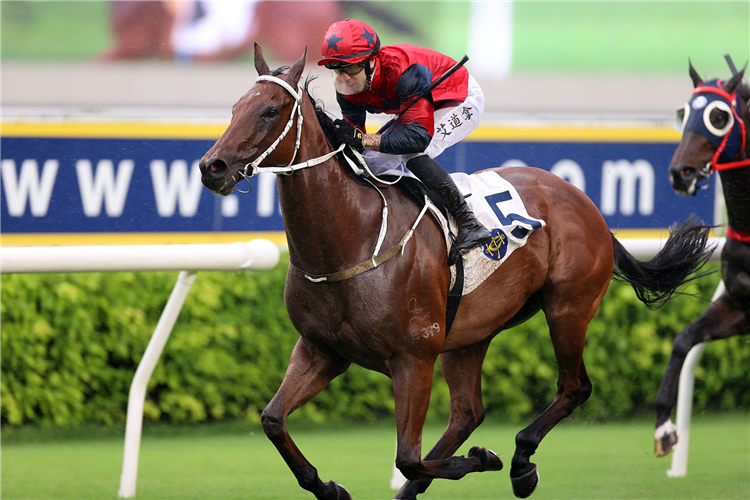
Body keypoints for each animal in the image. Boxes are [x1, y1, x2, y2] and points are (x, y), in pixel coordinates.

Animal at [200, 45, 716, 498]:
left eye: (269, 111)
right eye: (235, 107)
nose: (212, 166)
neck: (351, 238)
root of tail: (588, 207)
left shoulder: (413, 357)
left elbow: (407, 457)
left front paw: (484, 460)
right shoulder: (321, 350)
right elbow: (272, 420)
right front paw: (330, 488)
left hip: (568, 308)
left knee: (574, 387)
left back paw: (520, 463)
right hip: (470, 332)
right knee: (468, 412)